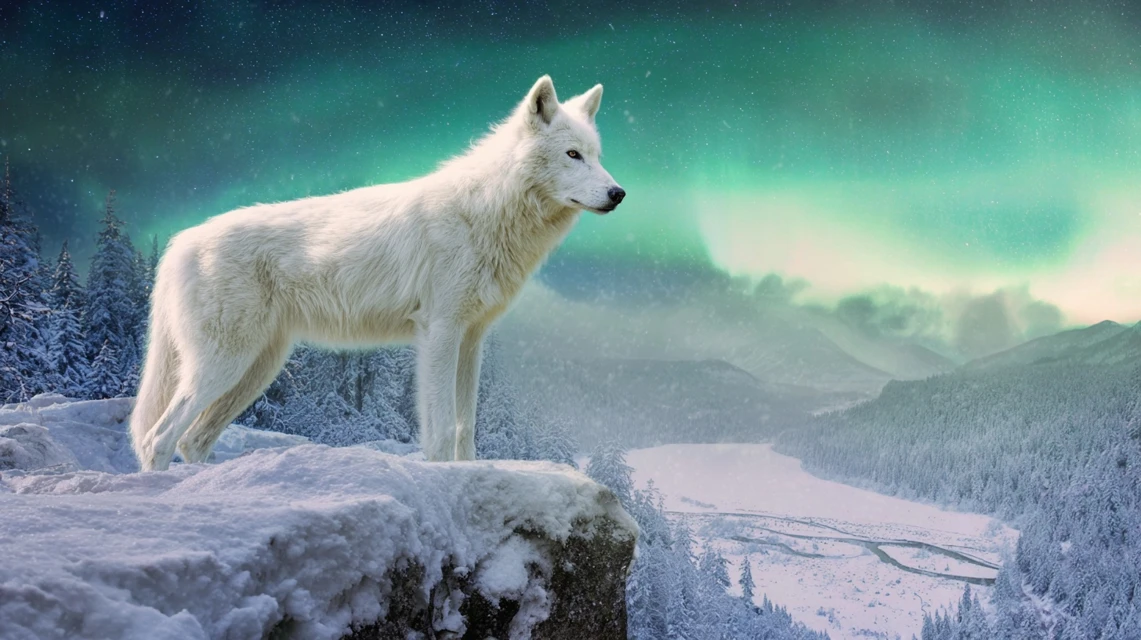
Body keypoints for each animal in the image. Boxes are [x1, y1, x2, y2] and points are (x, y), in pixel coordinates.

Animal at [130, 76, 624, 471]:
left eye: (599, 156)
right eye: (573, 154)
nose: (618, 193)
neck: (485, 211)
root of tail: (179, 242)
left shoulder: (471, 339)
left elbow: (466, 429)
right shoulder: (440, 332)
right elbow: (441, 431)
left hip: (255, 370)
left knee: (193, 441)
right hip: (224, 365)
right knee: (158, 438)